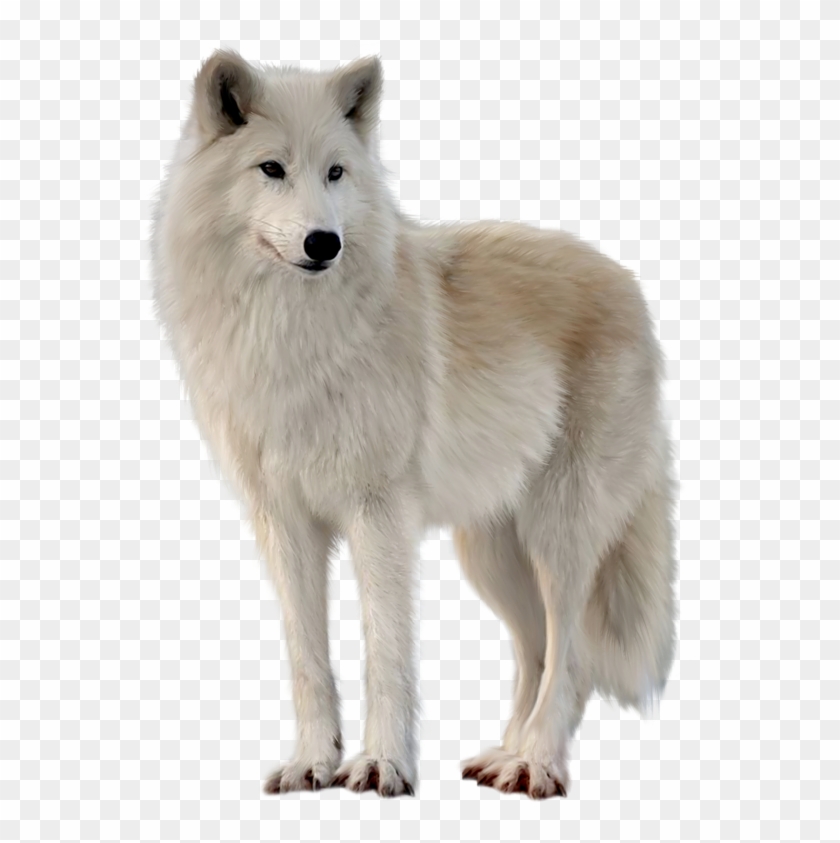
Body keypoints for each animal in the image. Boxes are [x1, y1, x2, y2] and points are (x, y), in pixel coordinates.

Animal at [151, 50, 677, 799]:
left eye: (336, 172)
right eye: (271, 168)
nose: (324, 242)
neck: (291, 332)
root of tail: (630, 284)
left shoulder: (380, 514)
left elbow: (386, 652)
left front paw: (381, 765)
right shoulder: (283, 522)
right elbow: (307, 658)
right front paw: (312, 762)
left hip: (561, 535)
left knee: (570, 658)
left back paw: (536, 763)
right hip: (491, 554)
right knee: (535, 650)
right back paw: (503, 756)